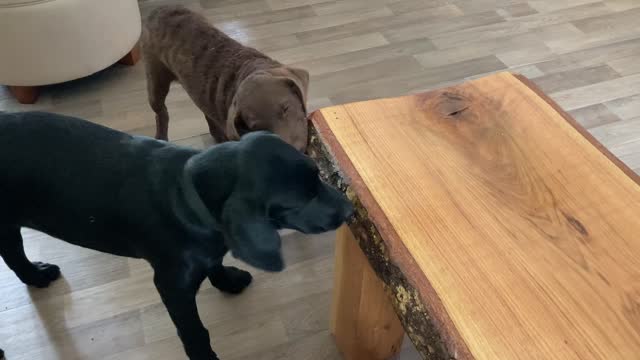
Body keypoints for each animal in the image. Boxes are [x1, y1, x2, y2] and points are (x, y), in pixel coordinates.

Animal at [0, 111, 350, 358]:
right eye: (302, 200)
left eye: (318, 175)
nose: (350, 210)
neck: (185, 190)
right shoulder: (172, 287)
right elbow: (195, 333)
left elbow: (215, 263)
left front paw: (227, 280)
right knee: (13, 253)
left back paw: (36, 276)